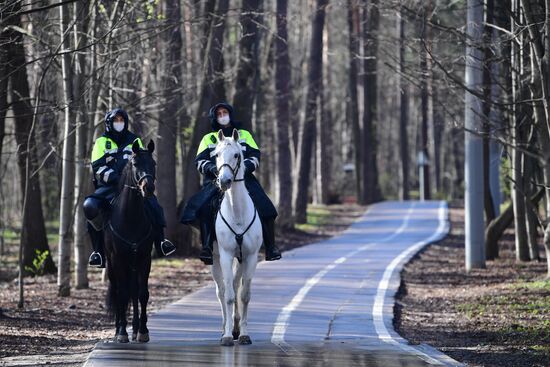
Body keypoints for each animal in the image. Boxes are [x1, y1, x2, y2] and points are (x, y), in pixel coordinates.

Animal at [83, 108, 177, 268]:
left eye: (154, 164)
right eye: (135, 163)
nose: (148, 188)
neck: (131, 219)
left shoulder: (144, 259)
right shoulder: (116, 260)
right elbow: (100, 165)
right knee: (90, 208)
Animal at [182, 102, 282, 266]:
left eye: (236, 155)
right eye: (217, 154)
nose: (224, 181)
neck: (238, 215)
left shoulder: (250, 257)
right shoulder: (226, 256)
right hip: (216, 258)